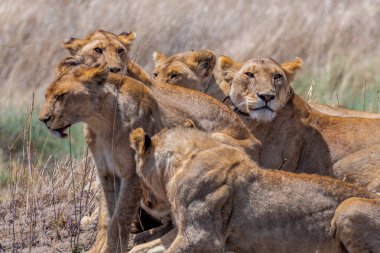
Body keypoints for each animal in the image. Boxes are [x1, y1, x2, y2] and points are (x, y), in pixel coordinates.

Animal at [38, 61, 258, 253]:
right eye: (47, 95)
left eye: (61, 96)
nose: (43, 119)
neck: (100, 121)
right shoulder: (107, 173)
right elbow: (105, 218)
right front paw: (97, 249)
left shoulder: (133, 175)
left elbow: (120, 218)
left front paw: (113, 249)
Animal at [130, 126, 378, 253]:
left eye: (137, 174)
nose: (144, 202)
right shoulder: (182, 230)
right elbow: (141, 249)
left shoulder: (202, 237)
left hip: (349, 206)